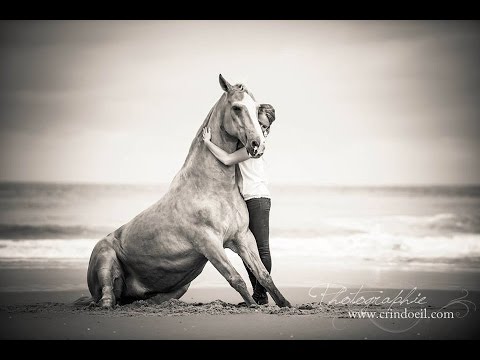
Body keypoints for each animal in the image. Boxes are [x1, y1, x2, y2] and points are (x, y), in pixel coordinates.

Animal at [83, 74, 290, 308]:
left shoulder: (242, 237)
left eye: (256, 109)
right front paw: (253, 306)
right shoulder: (208, 242)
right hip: (105, 258)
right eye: (237, 107)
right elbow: (236, 279)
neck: (212, 188)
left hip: (177, 287)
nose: (258, 145)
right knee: (107, 298)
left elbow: (264, 275)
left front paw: (285, 305)